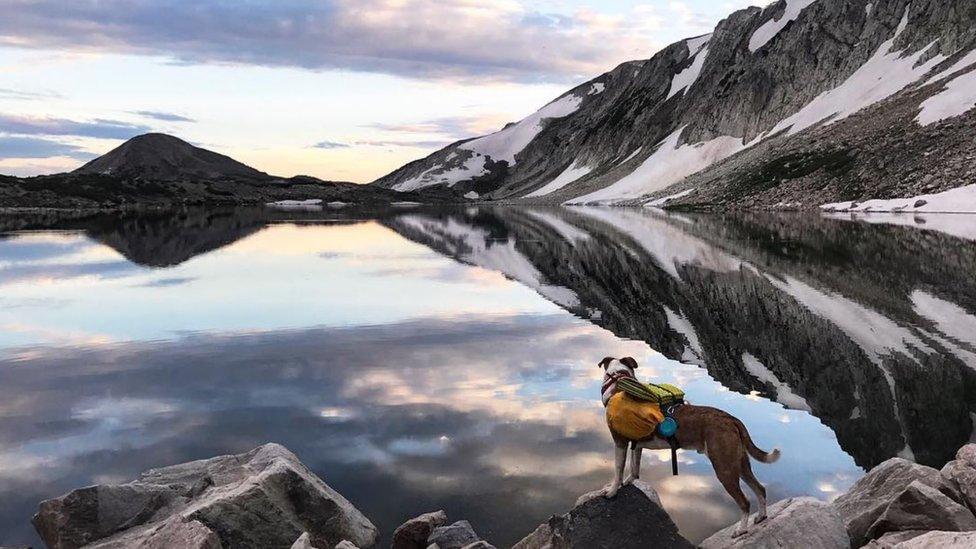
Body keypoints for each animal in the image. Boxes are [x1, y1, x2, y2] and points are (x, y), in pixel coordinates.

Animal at [600, 354, 780, 536]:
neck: (619, 381)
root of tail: (730, 419)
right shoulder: (637, 444)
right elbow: (634, 467)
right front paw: (629, 481)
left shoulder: (620, 442)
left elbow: (618, 469)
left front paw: (612, 491)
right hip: (740, 463)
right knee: (760, 489)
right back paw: (761, 516)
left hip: (724, 467)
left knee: (745, 502)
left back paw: (741, 529)